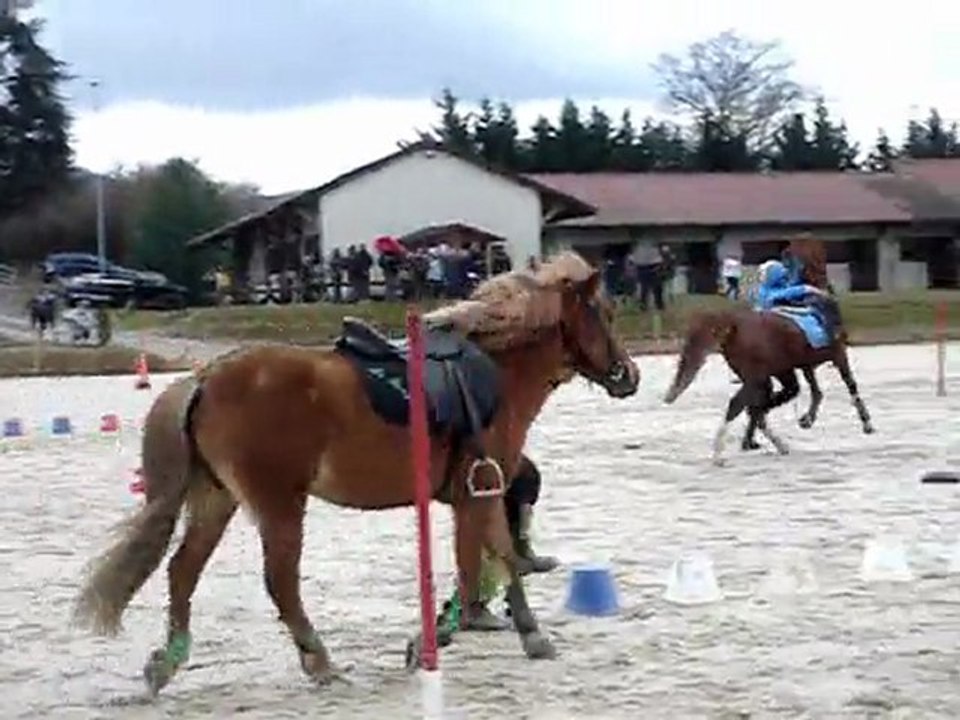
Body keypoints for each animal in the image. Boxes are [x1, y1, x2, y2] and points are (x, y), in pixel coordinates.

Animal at [72, 251, 640, 695]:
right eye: (606, 313)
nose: (628, 375)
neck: (495, 371)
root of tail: (205, 378)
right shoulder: (480, 491)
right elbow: (485, 560)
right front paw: (479, 635)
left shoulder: (474, 493)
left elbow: (483, 560)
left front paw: (483, 630)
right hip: (279, 503)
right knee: (280, 581)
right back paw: (319, 662)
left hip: (218, 499)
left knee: (182, 570)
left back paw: (167, 663)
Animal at [662, 304, 874, 465]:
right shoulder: (836, 353)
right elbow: (848, 384)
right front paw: (866, 422)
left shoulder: (792, 367)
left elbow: (811, 391)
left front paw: (806, 419)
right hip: (760, 376)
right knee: (738, 404)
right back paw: (719, 452)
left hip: (759, 376)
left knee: (757, 402)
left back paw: (770, 442)